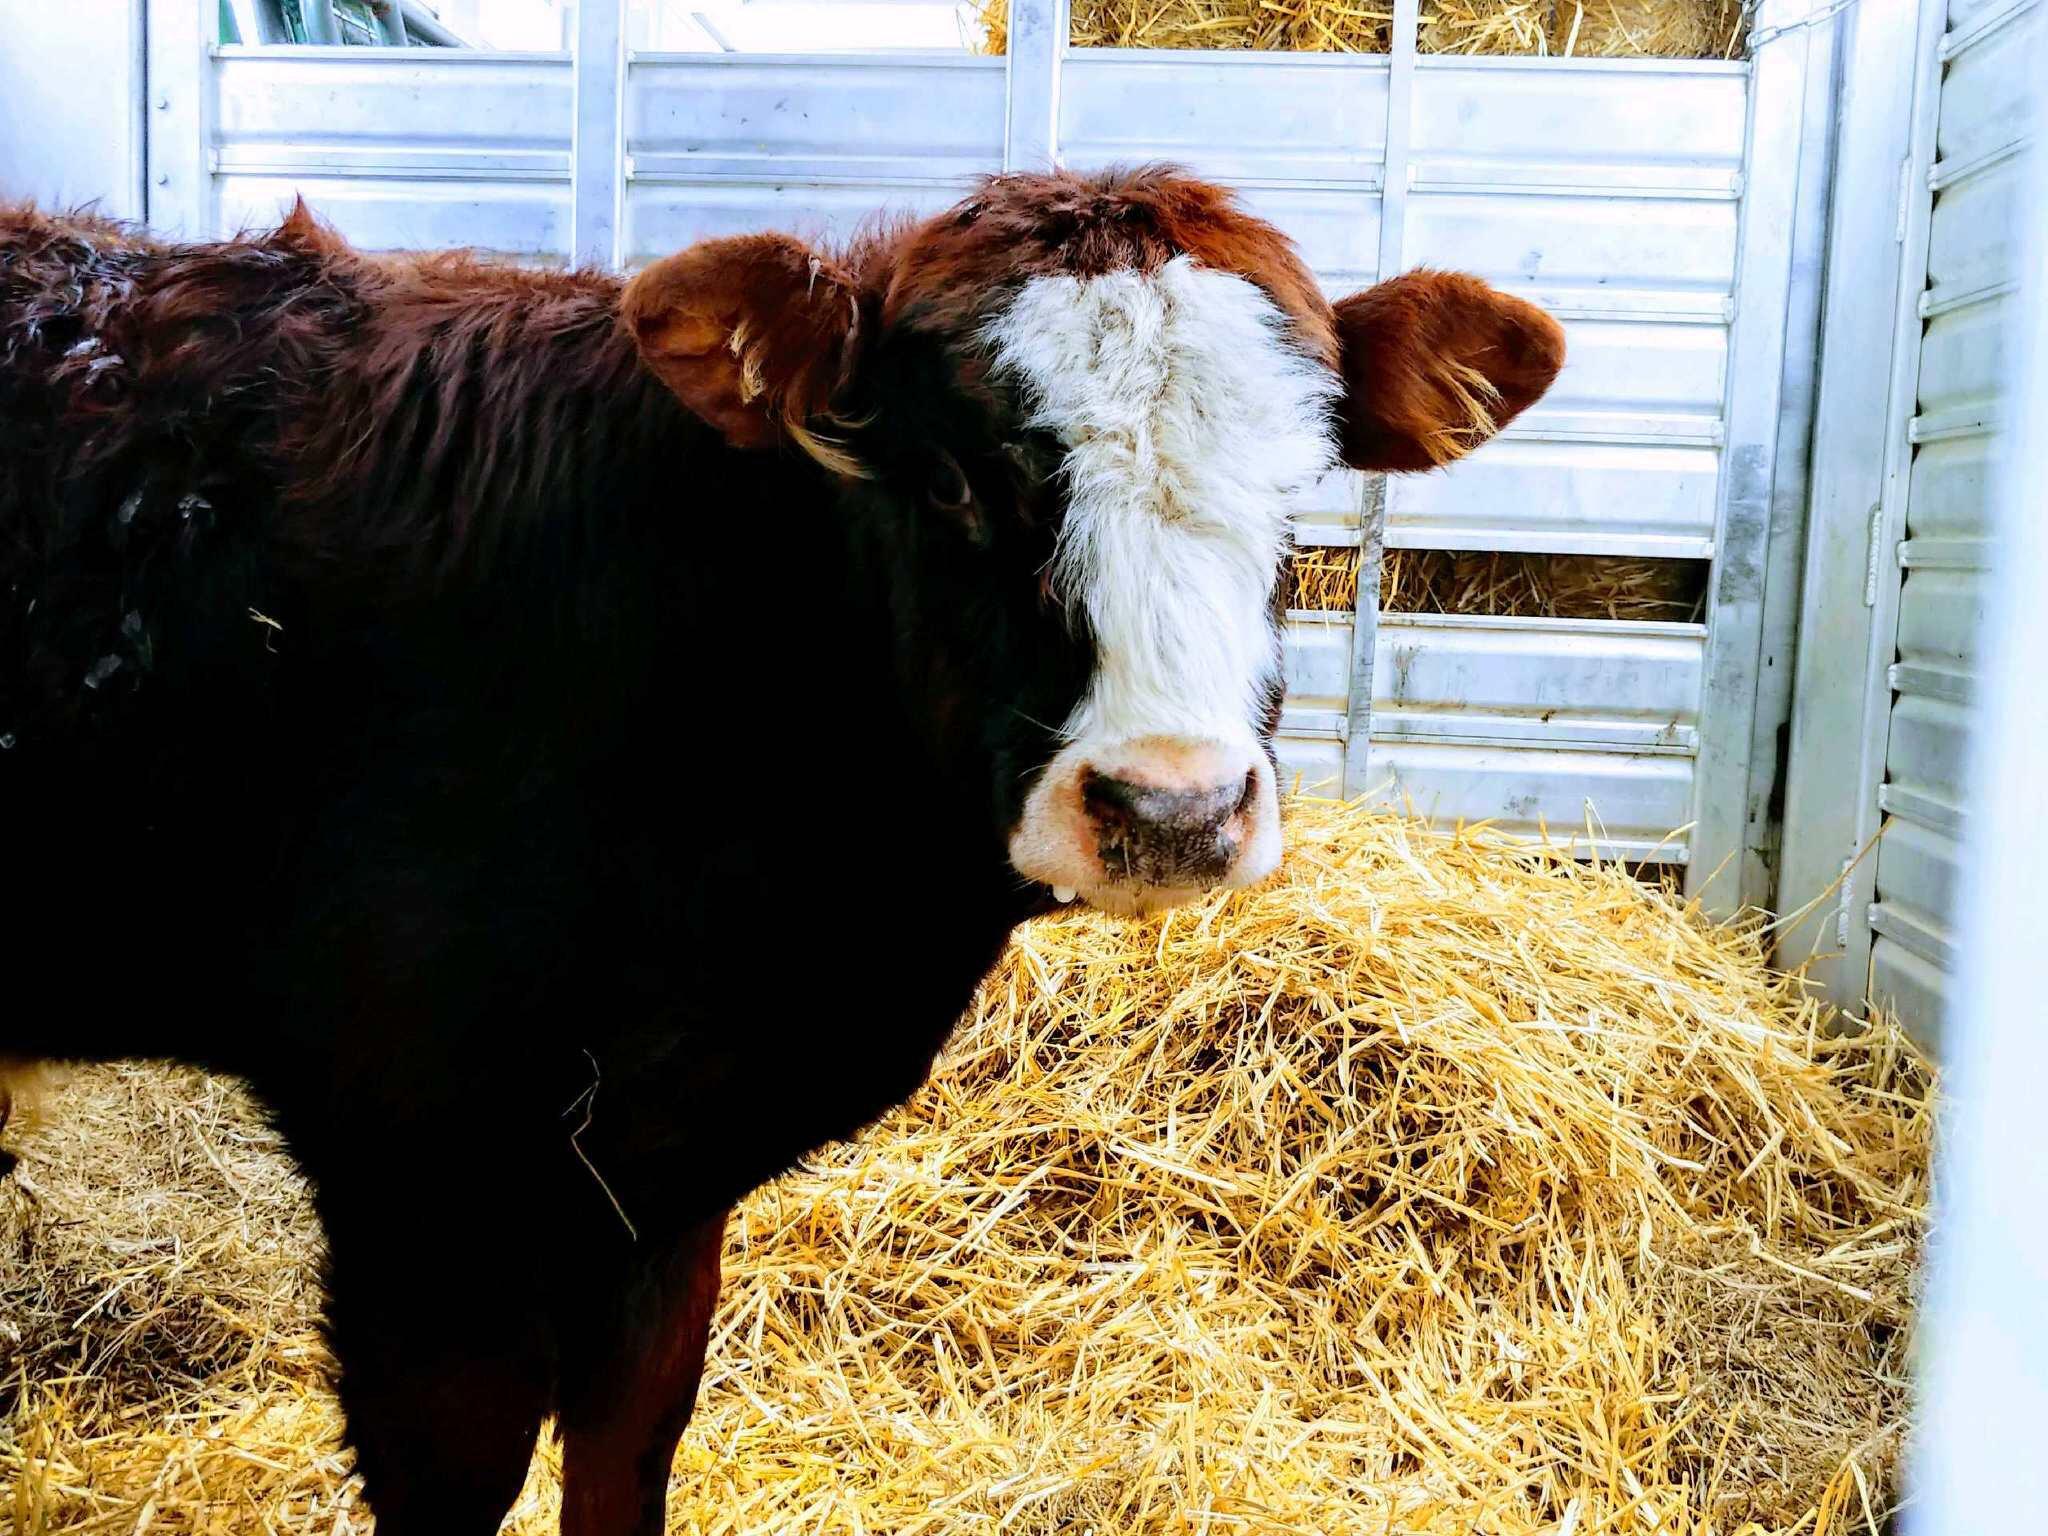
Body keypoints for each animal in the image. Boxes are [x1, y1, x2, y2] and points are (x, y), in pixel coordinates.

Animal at [0, 168, 1563, 1534]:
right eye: (952, 484)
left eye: (1299, 491)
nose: (1172, 808)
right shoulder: (416, 1164)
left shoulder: (661, 1182)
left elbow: (622, 1456)